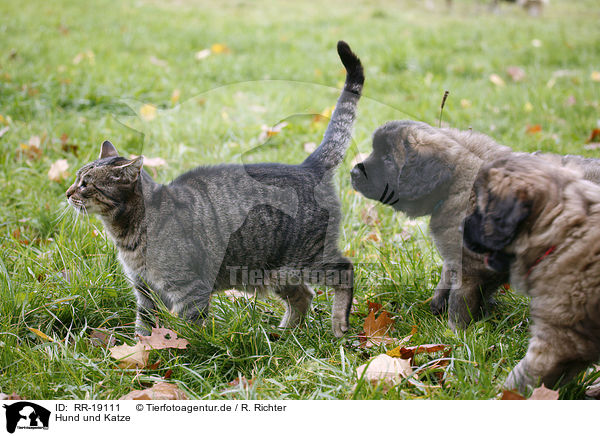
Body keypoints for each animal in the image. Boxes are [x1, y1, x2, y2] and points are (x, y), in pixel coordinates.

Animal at [67, 41, 366, 338]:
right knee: (303, 296)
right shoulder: (145, 291)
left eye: (86, 184)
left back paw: (339, 324)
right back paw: (283, 335)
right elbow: (144, 328)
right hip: (278, 271)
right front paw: (140, 350)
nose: (68, 193)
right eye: (76, 178)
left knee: (345, 270)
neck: (127, 234)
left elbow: (189, 329)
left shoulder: (189, 289)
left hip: (307, 257)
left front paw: (185, 347)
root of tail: (308, 166)